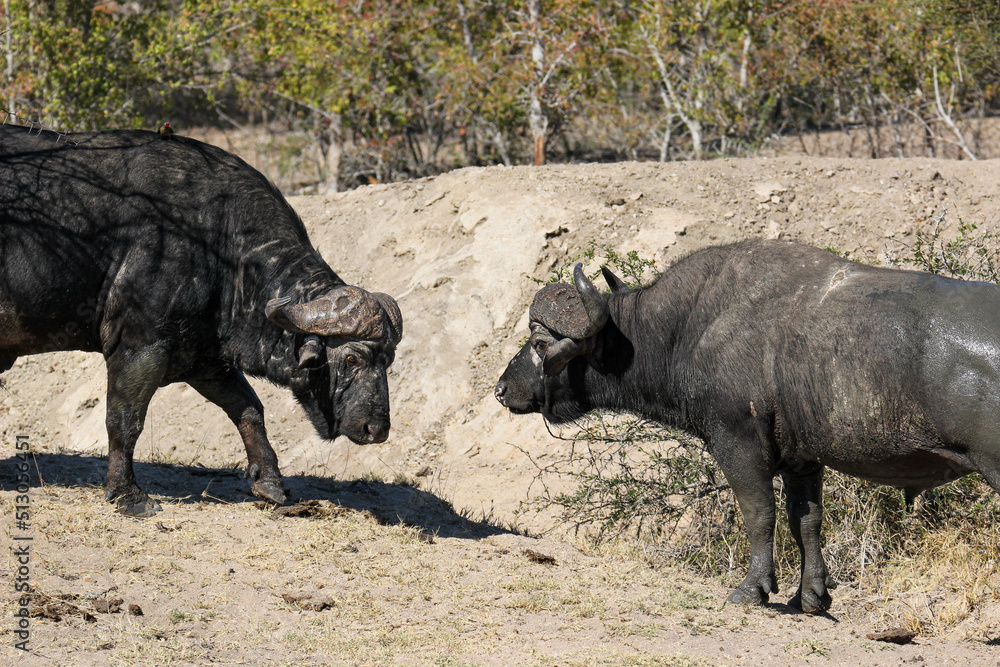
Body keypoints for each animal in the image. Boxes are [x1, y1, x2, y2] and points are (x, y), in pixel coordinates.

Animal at [0, 125, 402, 517]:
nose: (377, 429)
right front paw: (127, 494)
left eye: (388, 362)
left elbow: (249, 410)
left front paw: (270, 482)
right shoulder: (140, 348)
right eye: (351, 358)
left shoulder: (204, 360)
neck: (219, 246)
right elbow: (125, 420)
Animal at [495, 238, 1000, 613]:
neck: (686, 327)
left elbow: (759, 514)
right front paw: (810, 596)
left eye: (539, 343)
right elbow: (806, 520)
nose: (501, 389)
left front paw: (753, 588)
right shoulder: (803, 461)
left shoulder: (738, 444)